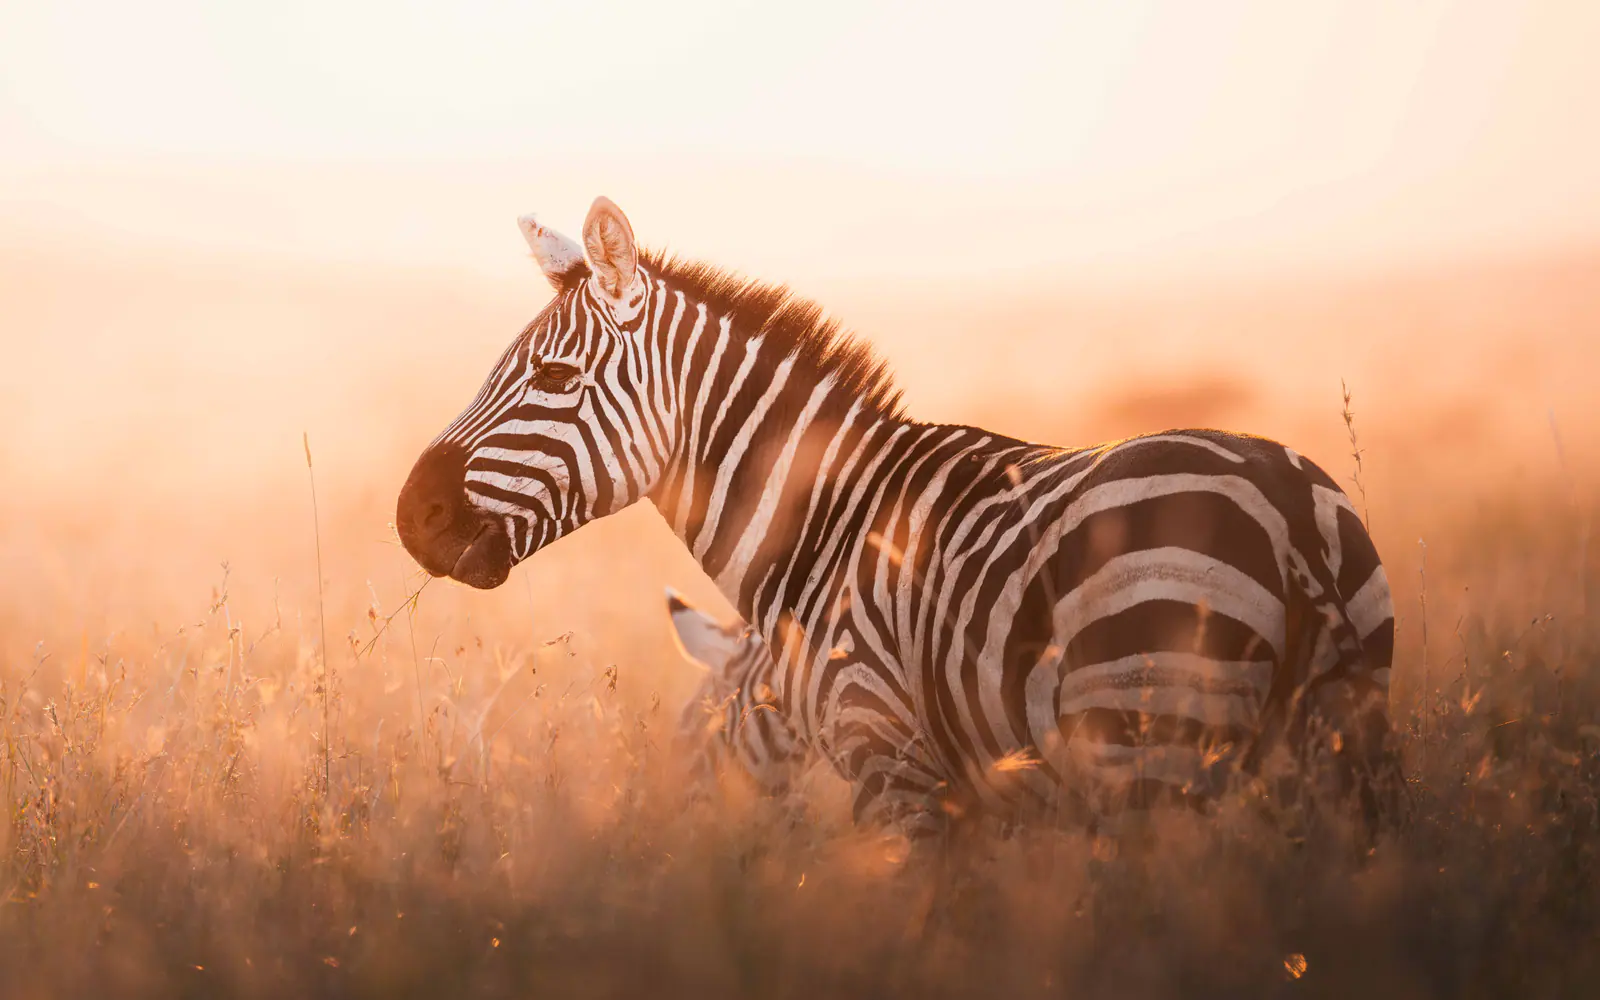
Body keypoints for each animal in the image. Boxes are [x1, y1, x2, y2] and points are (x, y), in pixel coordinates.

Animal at [396, 196, 1397, 840]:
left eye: (555, 378)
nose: (413, 515)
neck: (825, 529)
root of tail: (1287, 508)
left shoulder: (896, 769)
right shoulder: (996, 801)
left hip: (1154, 740)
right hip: (1331, 746)